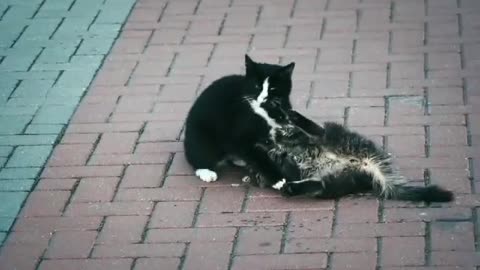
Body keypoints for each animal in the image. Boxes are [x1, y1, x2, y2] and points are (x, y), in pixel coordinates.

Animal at [184, 55, 296, 186]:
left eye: (273, 88)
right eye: (257, 86)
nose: (263, 98)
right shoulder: (240, 134)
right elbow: (259, 157)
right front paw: (278, 179)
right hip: (200, 135)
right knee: (198, 153)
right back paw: (206, 171)